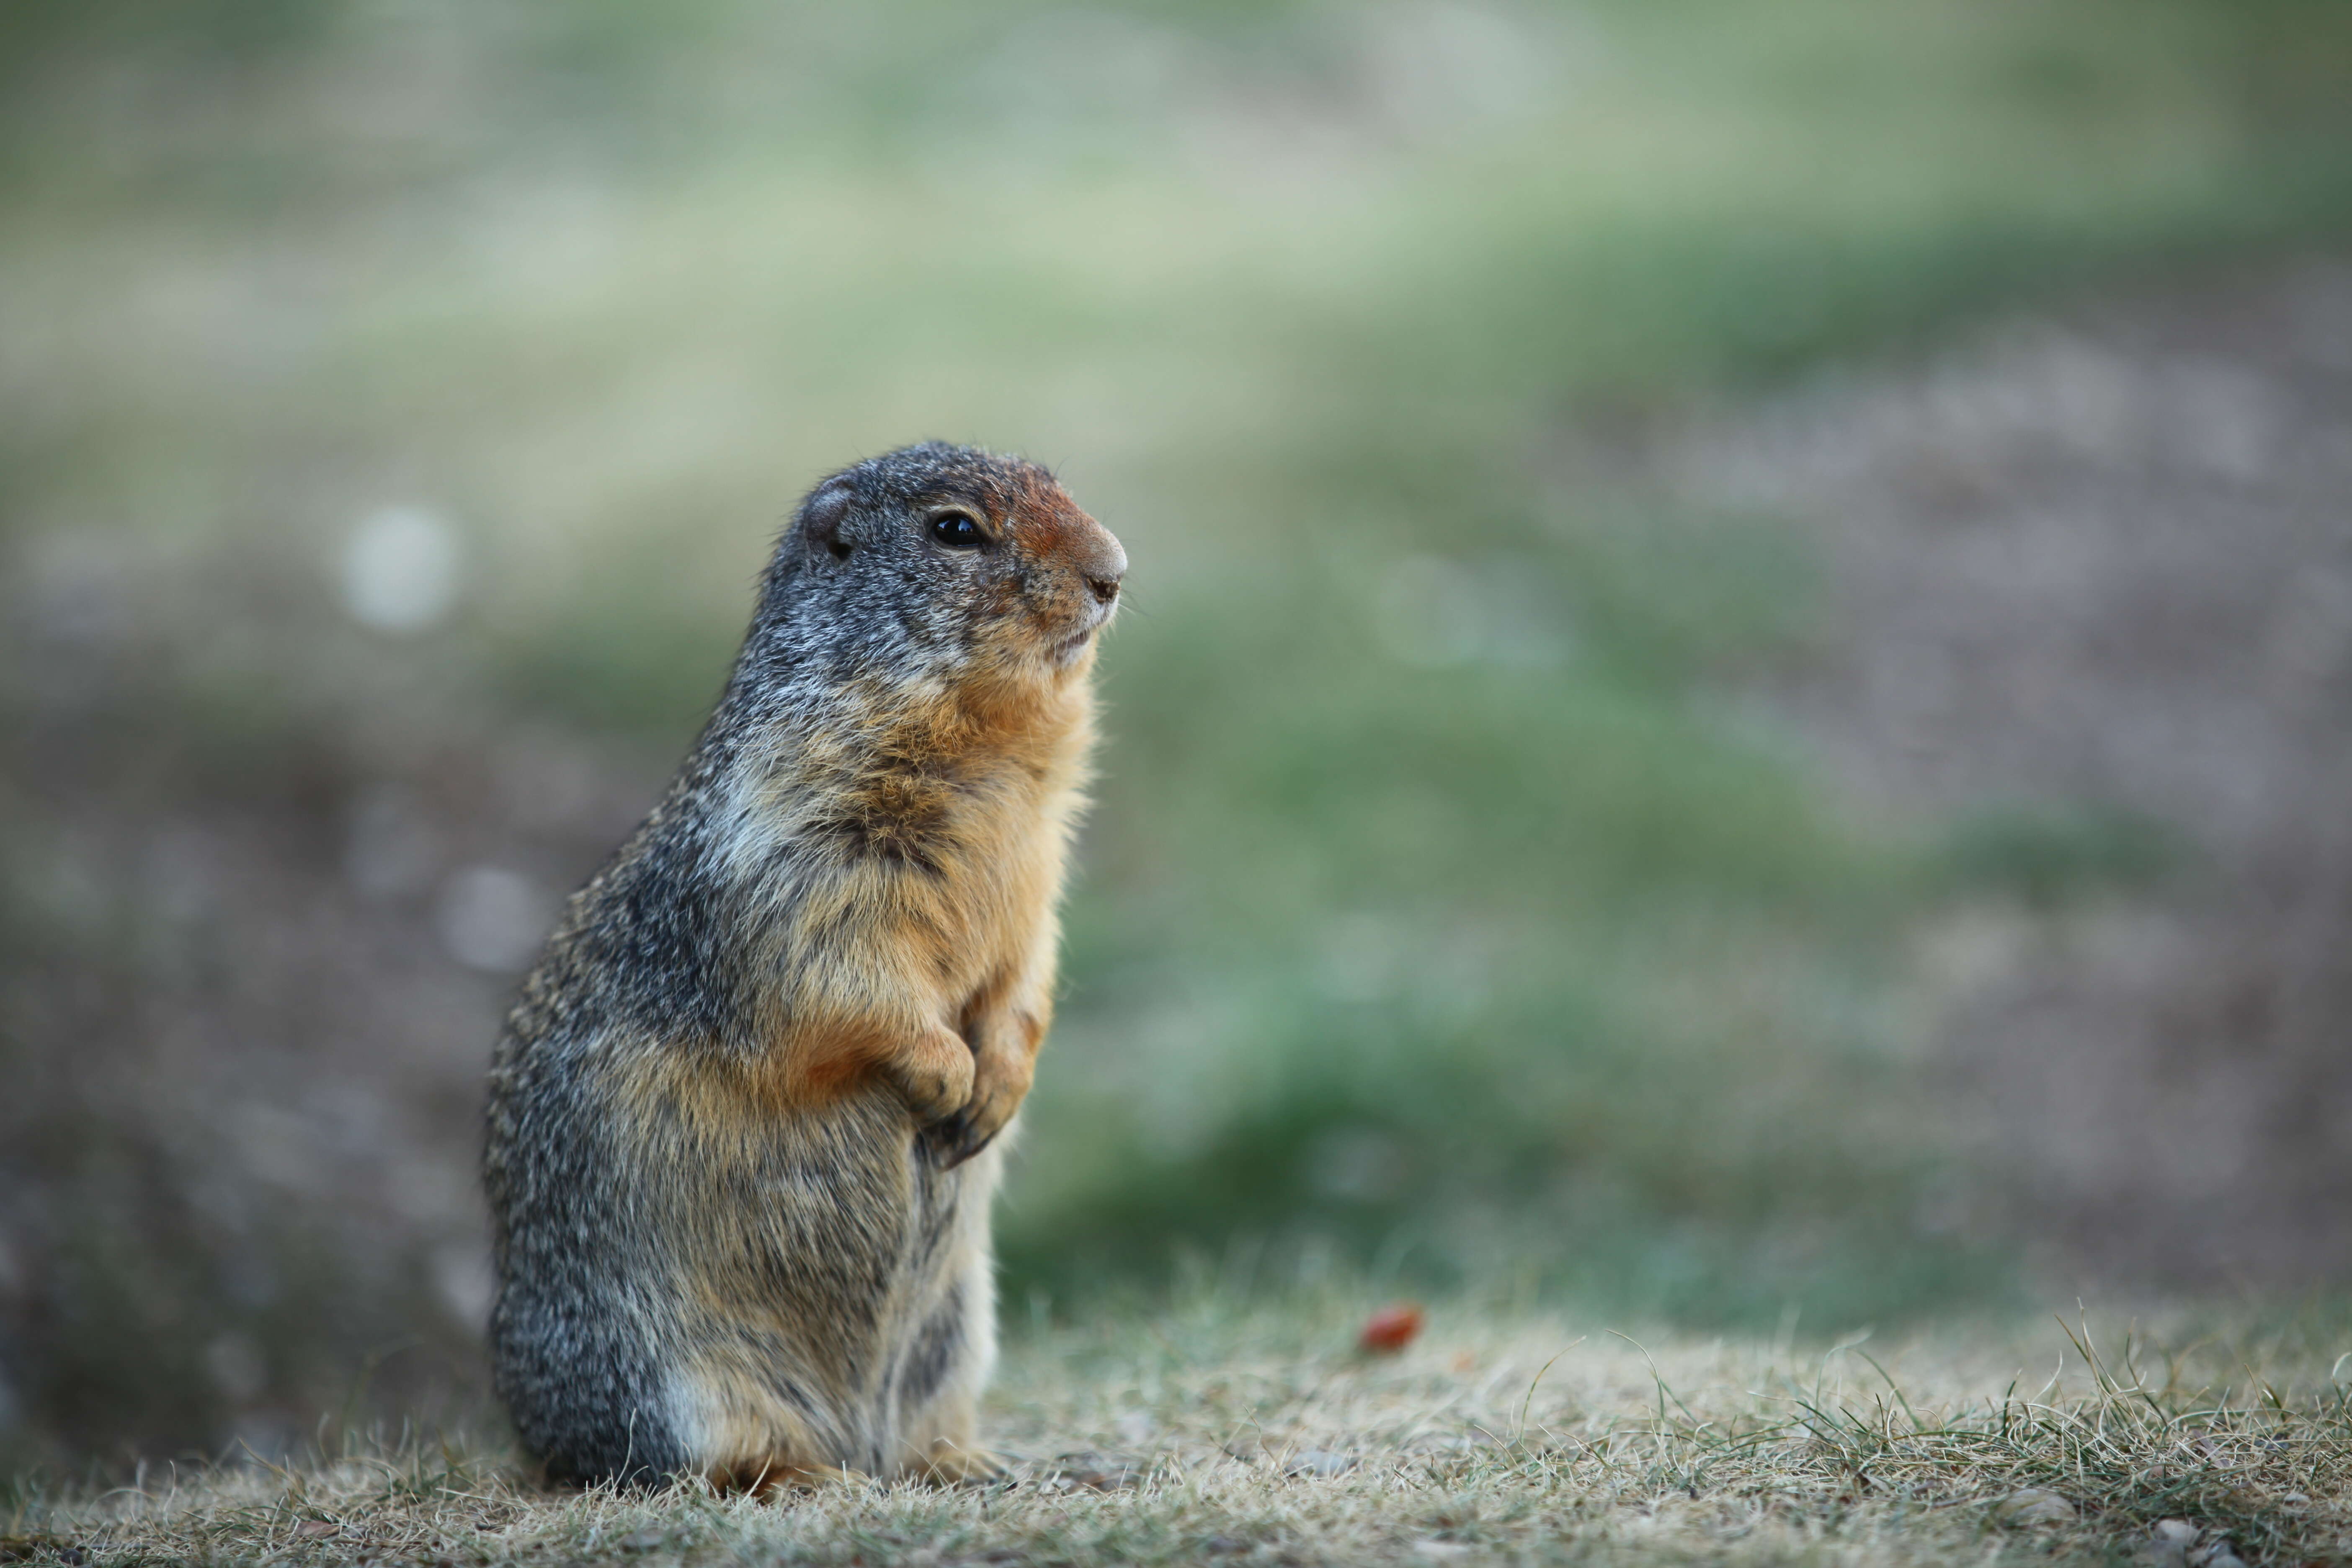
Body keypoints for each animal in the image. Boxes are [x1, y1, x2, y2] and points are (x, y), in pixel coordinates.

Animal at [477, 444, 1119, 1495]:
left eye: (1060, 484)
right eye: (955, 530)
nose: (1114, 572)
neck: (987, 752)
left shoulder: (1040, 867)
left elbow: (1026, 973)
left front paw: (997, 1085)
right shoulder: (797, 855)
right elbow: (842, 974)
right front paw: (945, 1072)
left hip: (956, 1336)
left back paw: (967, 1458)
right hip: (673, 1374)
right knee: (703, 1459)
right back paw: (807, 1475)